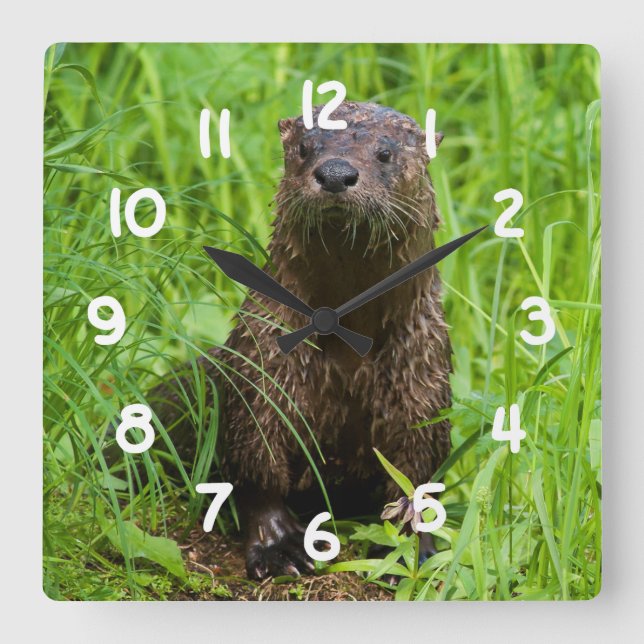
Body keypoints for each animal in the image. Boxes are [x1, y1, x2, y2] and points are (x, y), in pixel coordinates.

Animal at [155, 102, 452, 580]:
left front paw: (411, 553)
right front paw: (280, 545)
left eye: (385, 153)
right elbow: (257, 469)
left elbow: (416, 478)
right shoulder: (261, 370)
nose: (335, 172)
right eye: (304, 148)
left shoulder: (422, 385)